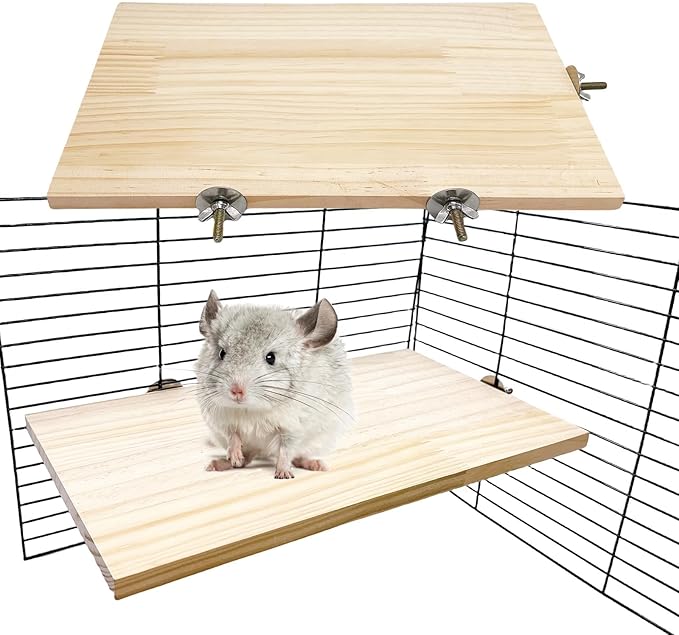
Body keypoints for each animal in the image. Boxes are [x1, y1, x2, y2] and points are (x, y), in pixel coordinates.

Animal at [195, 291, 354, 479]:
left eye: (271, 357)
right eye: (221, 353)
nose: (236, 391)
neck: (251, 409)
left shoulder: (293, 427)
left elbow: (286, 449)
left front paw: (283, 473)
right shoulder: (222, 420)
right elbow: (233, 435)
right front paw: (234, 455)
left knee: (296, 456)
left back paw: (315, 464)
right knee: (247, 458)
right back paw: (223, 463)